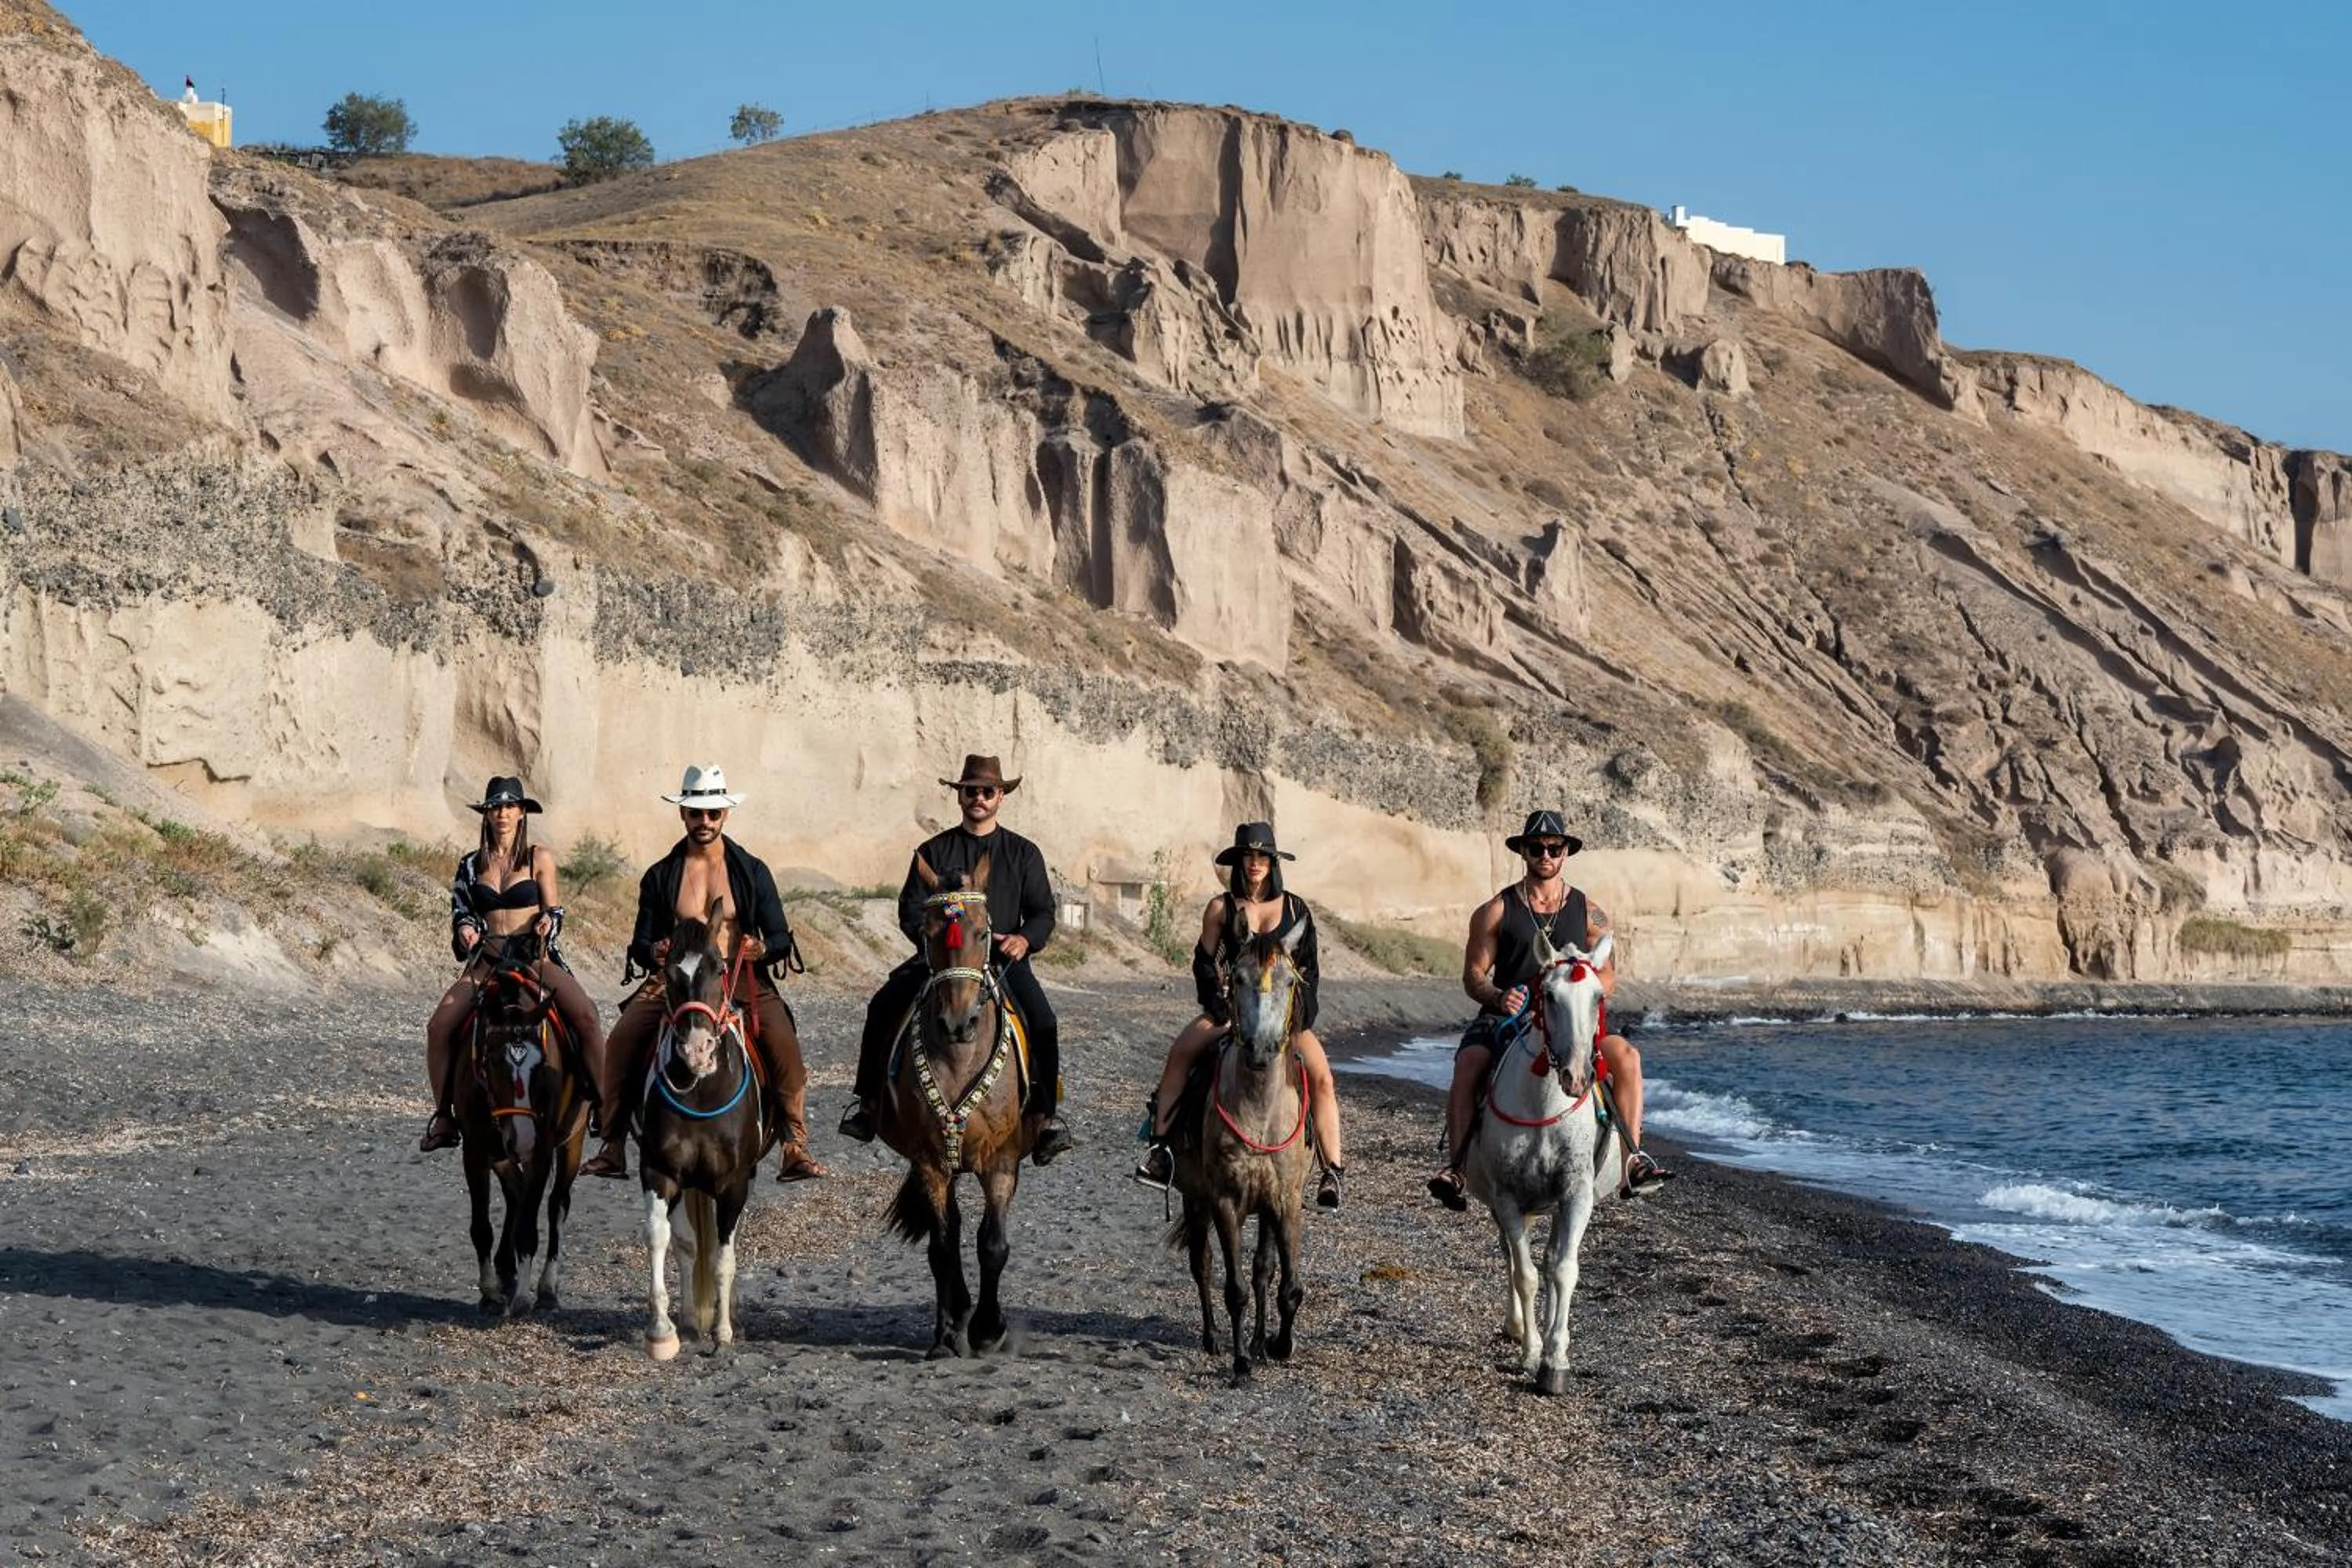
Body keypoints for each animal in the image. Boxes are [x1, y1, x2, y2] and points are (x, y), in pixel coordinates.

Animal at [454, 931, 589, 1319]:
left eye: (541, 1065)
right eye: (490, 1060)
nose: (524, 1139)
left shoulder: (542, 1151)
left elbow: (531, 1228)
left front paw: (523, 1298)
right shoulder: (477, 1148)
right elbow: (482, 1226)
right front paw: (490, 1292)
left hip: (571, 1143)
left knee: (557, 1205)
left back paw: (545, 1288)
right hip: (502, 1150)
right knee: (516, 1191)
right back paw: (505, 1270)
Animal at [636, 901, 773, 1360]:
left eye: (720, 967)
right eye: (669, 971)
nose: (697, 1050)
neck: (700, 1090)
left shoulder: (733, 1182)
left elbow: (723, 1257)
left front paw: (724, 1331)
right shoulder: (659, 1172)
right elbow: (661, 1238)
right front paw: (662, 1330)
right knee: (688, 1244)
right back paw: (691, 1320)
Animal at [876, 852, 1033, 1358]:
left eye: (985, 933)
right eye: (928, 935)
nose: (957, 1023)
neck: (959, 1058)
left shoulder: (1001, 1161)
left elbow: (993, 1245)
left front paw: (987, 1329)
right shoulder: (930, 1162)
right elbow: (943, 1245)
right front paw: (947, 1334)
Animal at [1168, 909, 1313, 1381]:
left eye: (1289, 981)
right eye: (1239, 978)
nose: (1262, 1049)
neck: (1261, 1111)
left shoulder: (1284, 1200)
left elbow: (1285, 1284)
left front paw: (1277, 1345)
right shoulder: (1225, 1201)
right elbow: (1232, 1288)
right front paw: (1240, 1362)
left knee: (1261, 1271)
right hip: (1195, 1197)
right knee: (1202, 1263)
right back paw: (1214, 1339)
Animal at [1460, 929, 1628, 1394]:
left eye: (1597, 997)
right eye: (1548, 996)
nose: (1576, 1076)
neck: (1544, 1104)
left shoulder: (1575, 1194)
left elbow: (1564, 1270)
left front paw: (1556, 1360)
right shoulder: (1507, 1198)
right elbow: (1525, 1273)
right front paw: (1532, 1352)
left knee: (1553, 1259)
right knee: (1513, 1257)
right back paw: (1517, 1326)